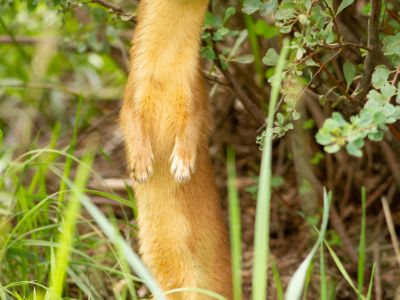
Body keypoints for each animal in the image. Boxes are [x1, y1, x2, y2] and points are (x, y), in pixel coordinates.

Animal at [119, 1, 231, 298]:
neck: (164, 74)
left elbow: (193, 127)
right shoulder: (133, 91)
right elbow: (130, 124)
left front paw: (182, 163)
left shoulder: (195, 93)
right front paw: (141, 164)